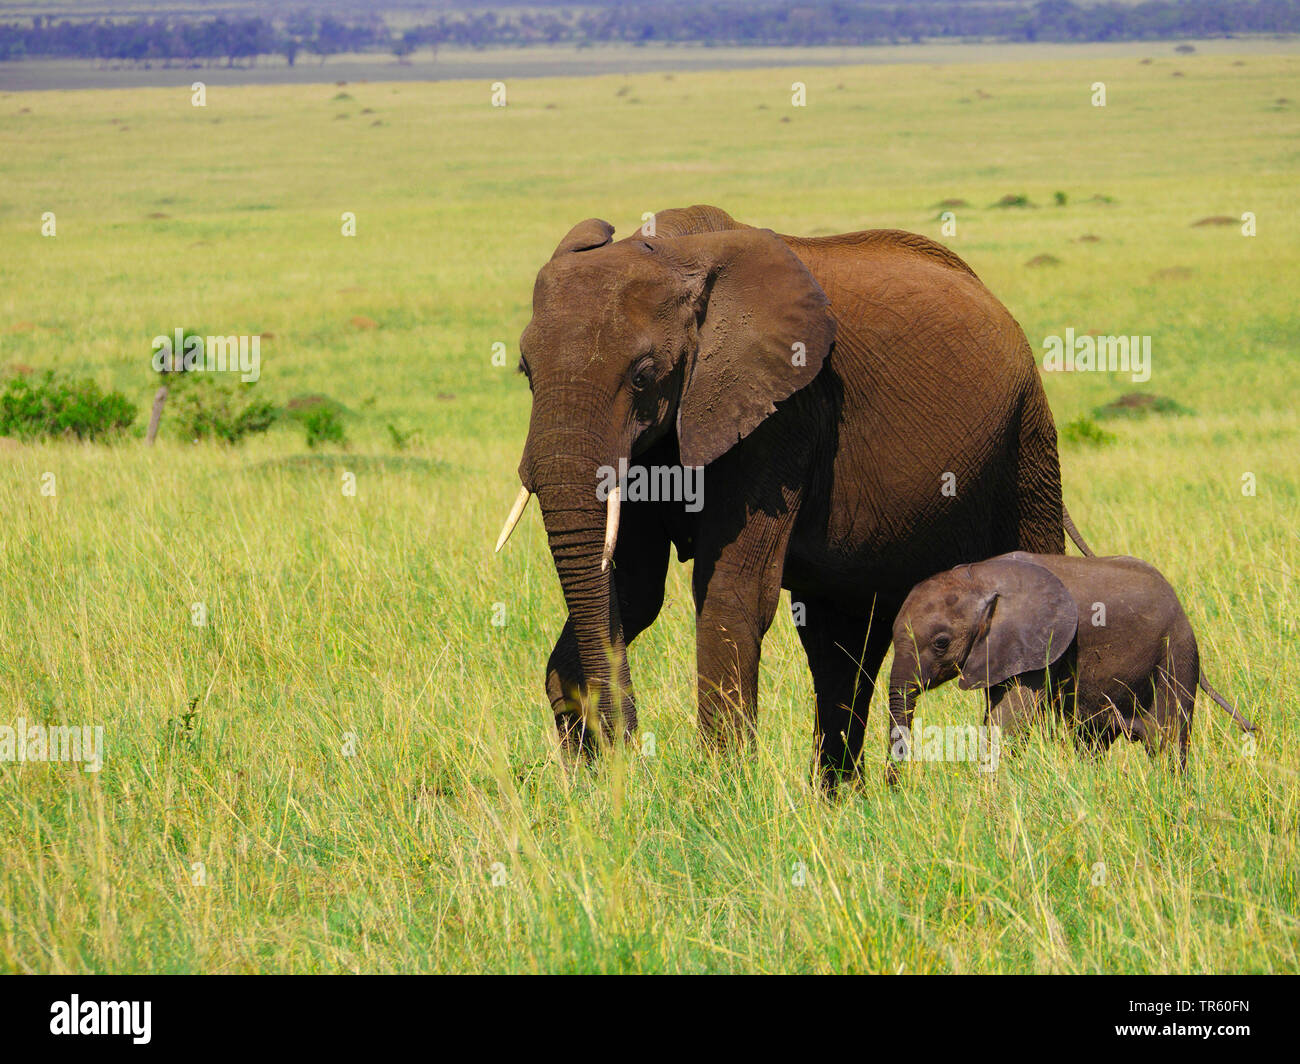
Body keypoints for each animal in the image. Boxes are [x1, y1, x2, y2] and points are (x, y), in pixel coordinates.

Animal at [496, 205, 1086, 785]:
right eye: (525, 371)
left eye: (643, 376)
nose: (629, 754)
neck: (676, 252)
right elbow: (632, 588)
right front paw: (592, 784)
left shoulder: (782, 413)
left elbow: (730, 589)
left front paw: (721, 791)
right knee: (840, 643)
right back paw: (842, 796)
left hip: (1027, 435)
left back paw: (1030, 771)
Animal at [889, 551, 1253, 775]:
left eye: (941, 643)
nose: (894, 788)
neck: (978, 577)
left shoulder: (1041, 642)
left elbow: (1010, 717)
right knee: (1092, 739)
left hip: (1177, 650)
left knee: (1167, 738)